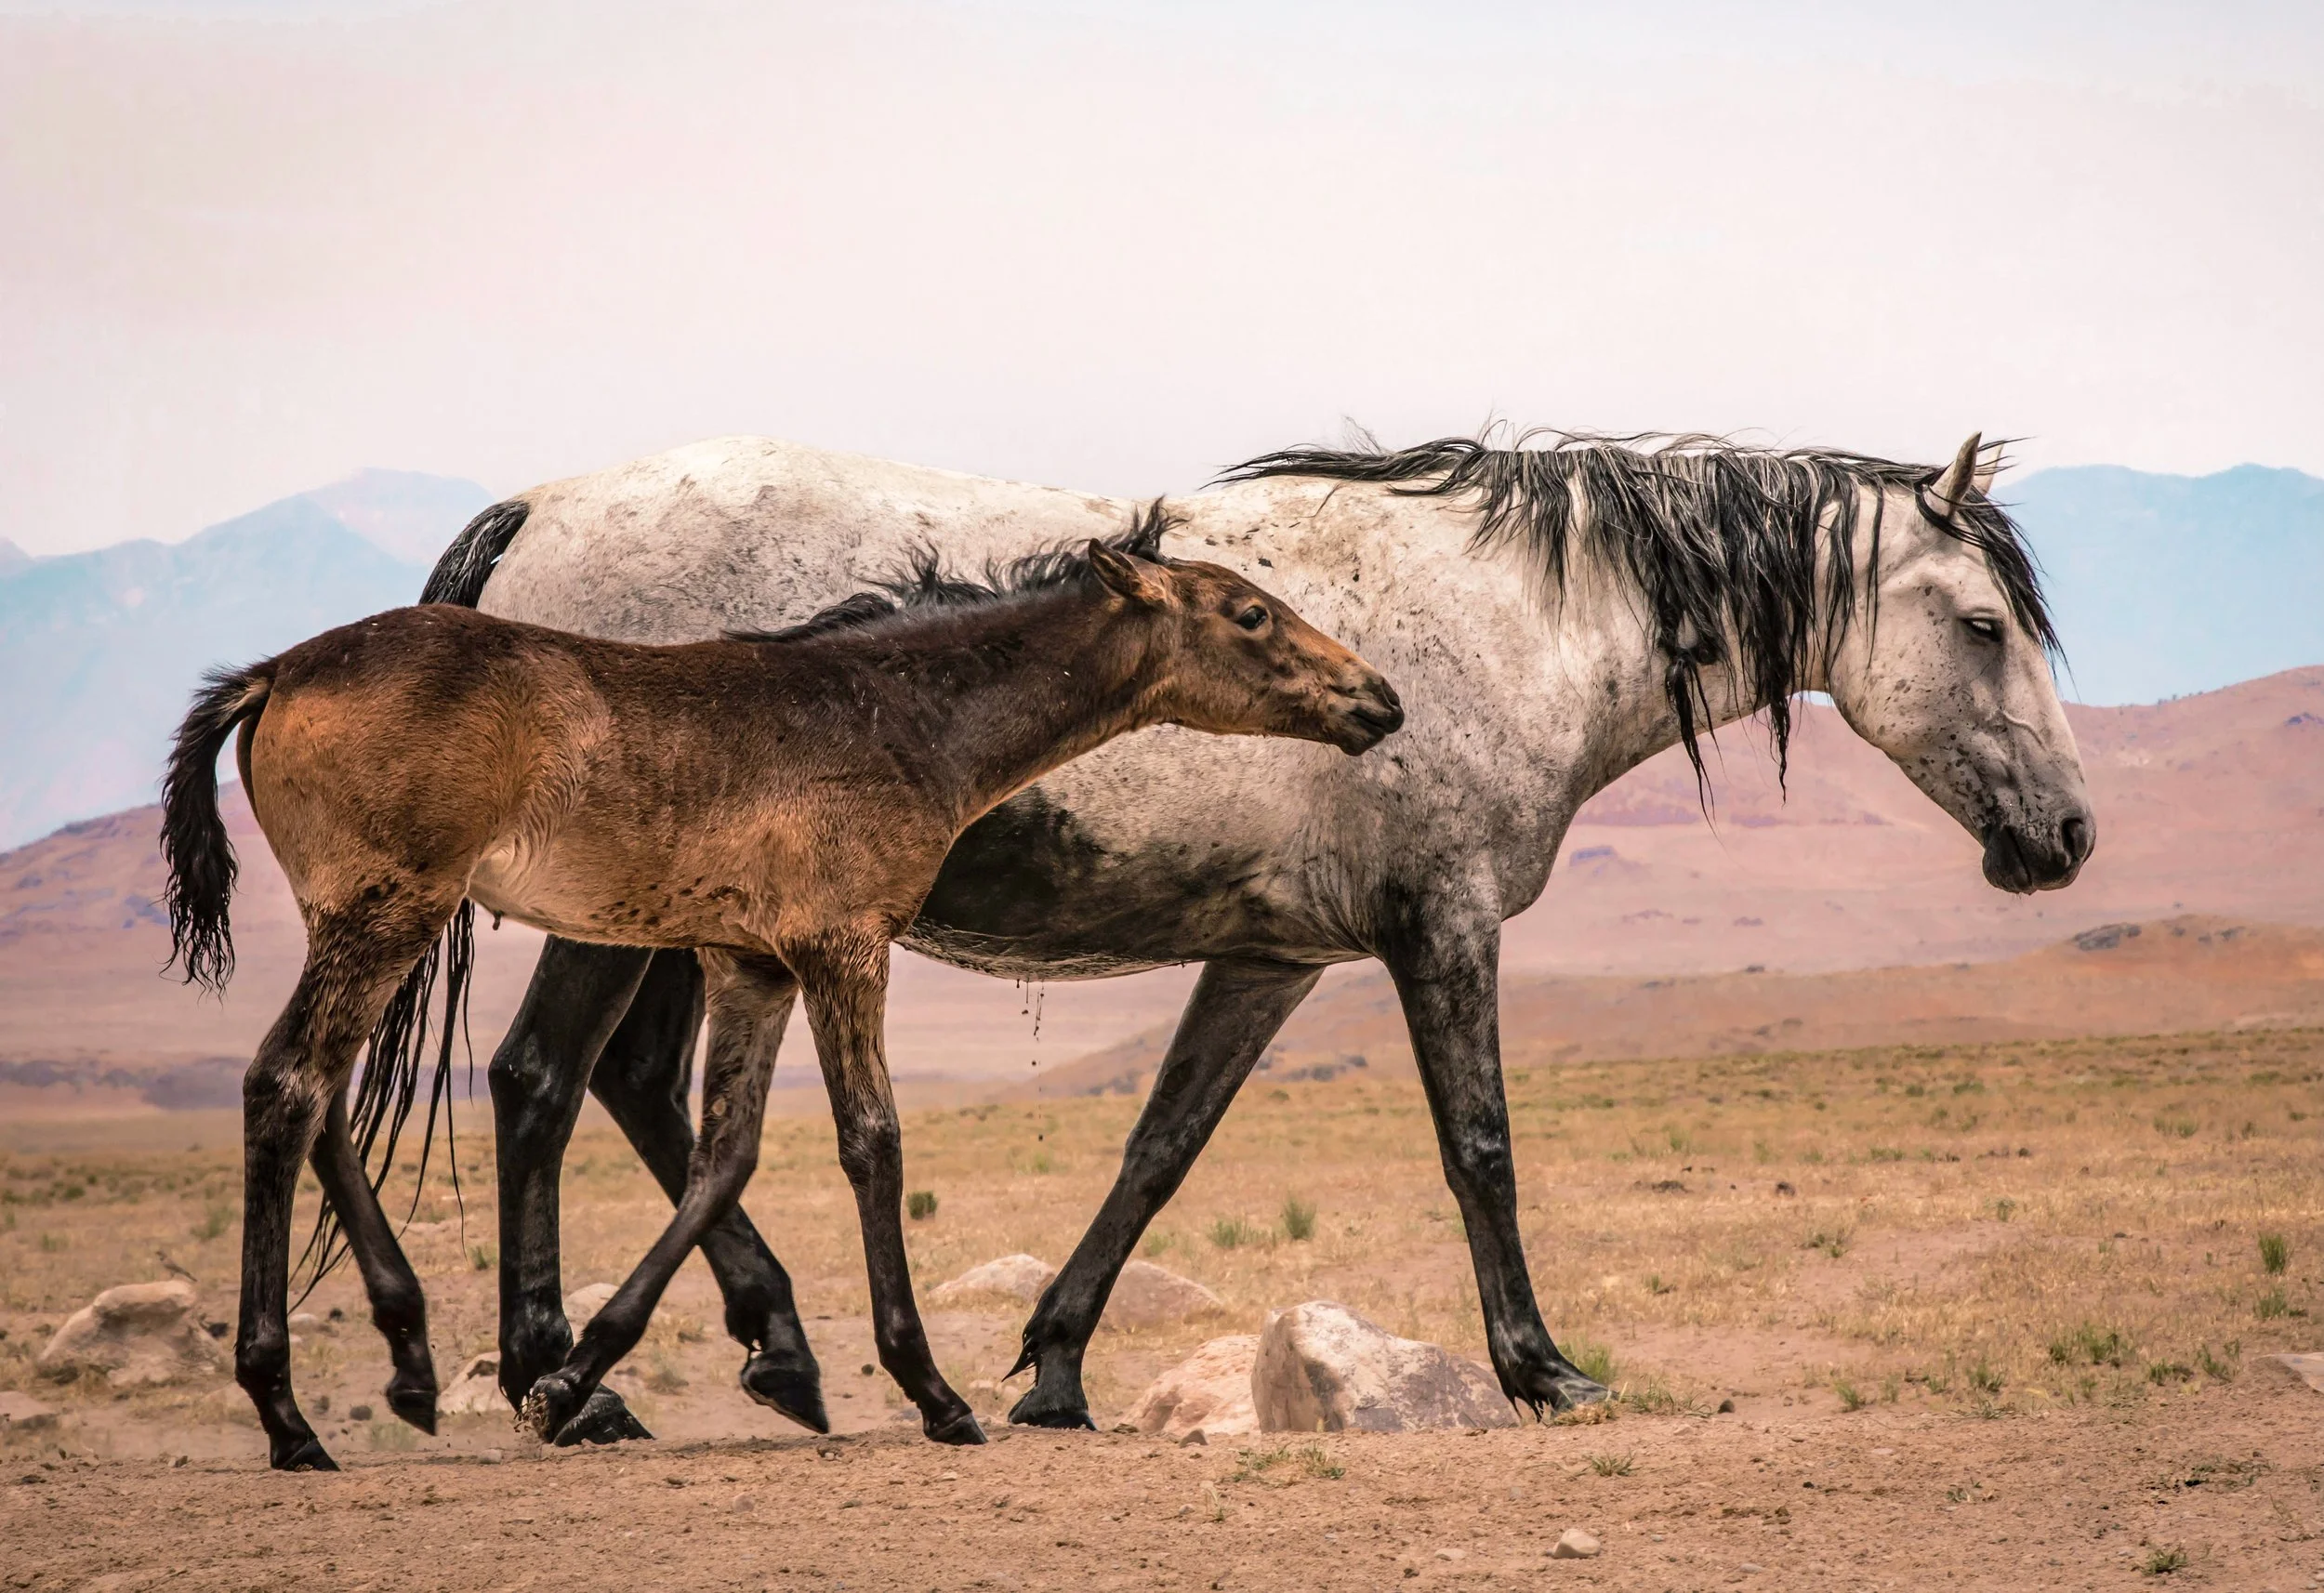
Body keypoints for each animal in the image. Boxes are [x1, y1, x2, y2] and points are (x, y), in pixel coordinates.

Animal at [158, 531, 1404, 1470]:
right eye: (1248, 614)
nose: (1378, 698)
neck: (895, 717)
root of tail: (275, 673)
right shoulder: (844, 947)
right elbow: (872, 1140)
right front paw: (934, 1391)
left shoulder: (747, 962)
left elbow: (727, 1154)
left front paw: (576, 1378)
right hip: (390, 914)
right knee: (287, 1083)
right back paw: (289, 1416)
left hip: (364, 924)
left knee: (321, 1097)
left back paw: (414, 1366)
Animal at [410, 426, 2092, 1441]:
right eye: (1984, 625)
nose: (2069, 836)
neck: (1517, 623)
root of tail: (539, 507)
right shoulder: (1444, 925)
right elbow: (1481, 1147)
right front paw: (1544, 1365)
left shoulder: (1273, 958)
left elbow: (1161, 1146)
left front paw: (1055, 1366)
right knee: (544, 1081)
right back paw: (575, 1381)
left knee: (634, 1088)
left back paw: (774, 1349)